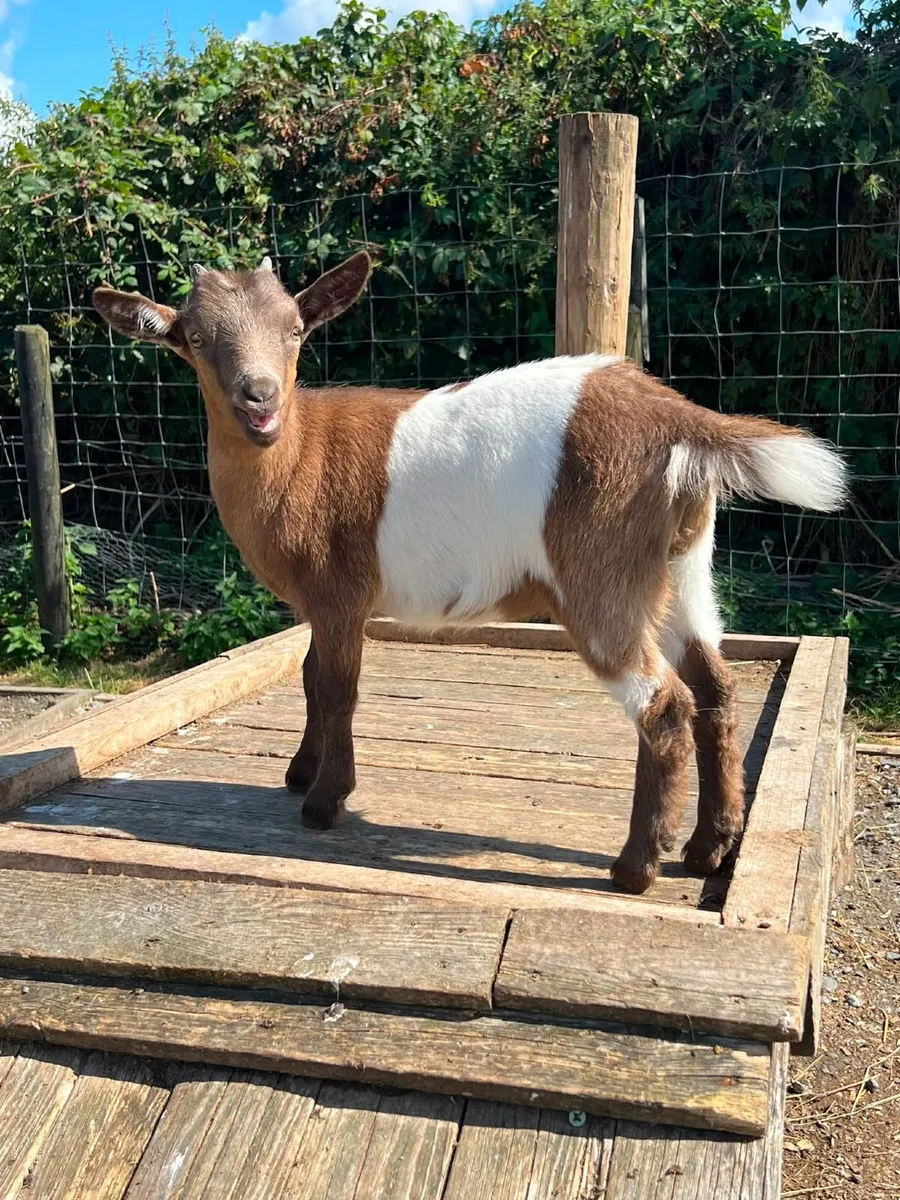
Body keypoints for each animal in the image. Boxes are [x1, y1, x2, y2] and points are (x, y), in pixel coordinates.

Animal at [93, 253, 848, 894]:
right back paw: (708, 849)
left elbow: (337, 688)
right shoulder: (320, 603)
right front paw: (300, 773)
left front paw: (325, 802)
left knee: (662, 706)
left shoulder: (340, 591)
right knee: (715, 686)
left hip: (602, 575)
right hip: (684, 568)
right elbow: (308, 679)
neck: (299, 455)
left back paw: (635, 868)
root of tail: (683, 421)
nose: (259, 398)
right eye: (193, 338)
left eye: (295, 330)